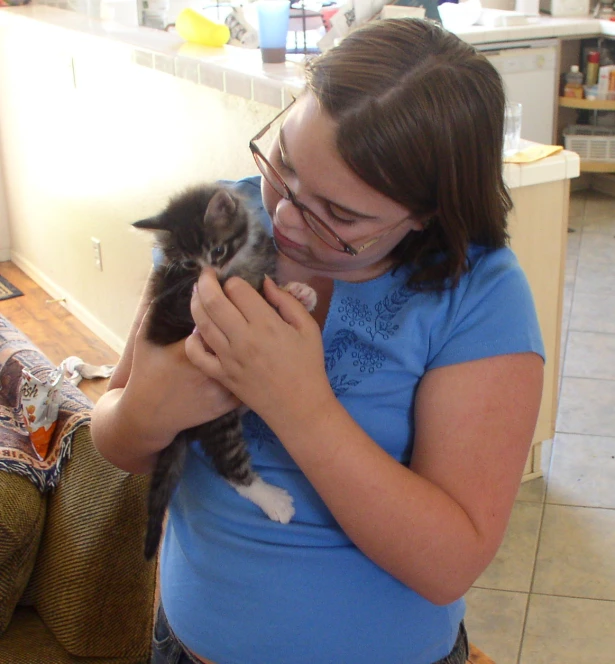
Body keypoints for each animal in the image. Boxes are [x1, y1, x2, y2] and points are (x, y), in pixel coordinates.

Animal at [135, 183, 318, 560]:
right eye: (190, 263)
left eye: (217, 250)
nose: (211, 276)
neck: (237, 267)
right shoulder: (187, 305)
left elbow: (266, 288)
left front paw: (297, 293)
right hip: (214, 417)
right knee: (227, 463)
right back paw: (272, 499)